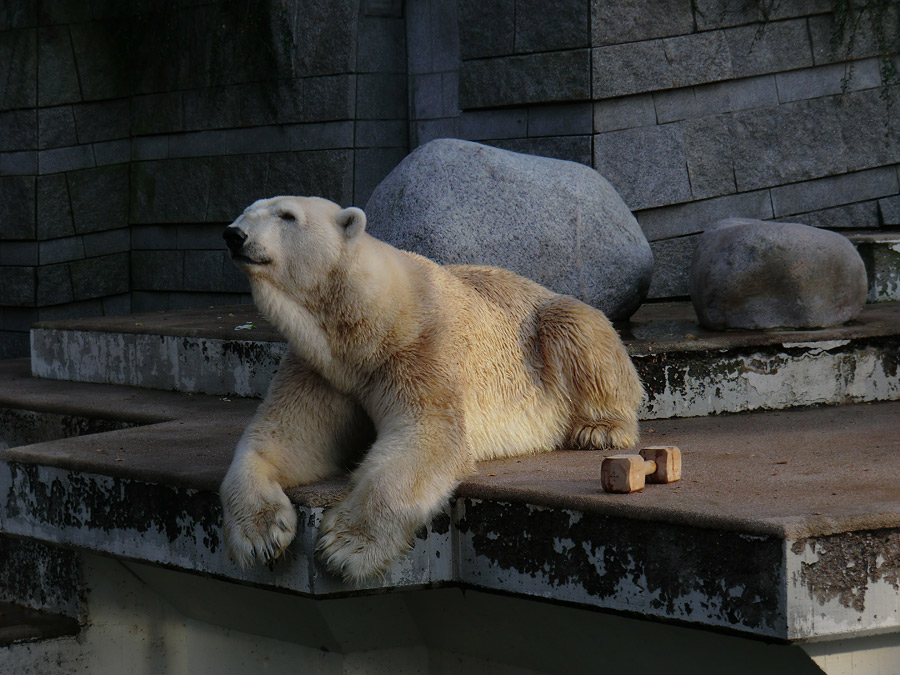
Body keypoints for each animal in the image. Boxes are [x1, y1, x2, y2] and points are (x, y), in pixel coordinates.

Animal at [223, 195, 648, 580]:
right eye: (246, 211)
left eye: (287, 215)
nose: (234, 234)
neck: (367, 327)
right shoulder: (321, 368)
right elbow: (285, 438)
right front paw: (261, 533)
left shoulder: (421, 351)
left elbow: (427, 439)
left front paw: (344, 548)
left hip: (549, 328)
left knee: (577, 328)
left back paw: (598, 429)